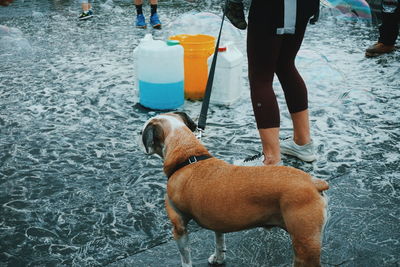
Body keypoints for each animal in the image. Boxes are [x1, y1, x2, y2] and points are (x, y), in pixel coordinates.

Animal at [141, 112, 328, 266]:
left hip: (304, 246)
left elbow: (185, 258)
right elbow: (219, 241)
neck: (188, 155)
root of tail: (313, 183)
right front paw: (219, 258)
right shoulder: (217, 221)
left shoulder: (179, 228)